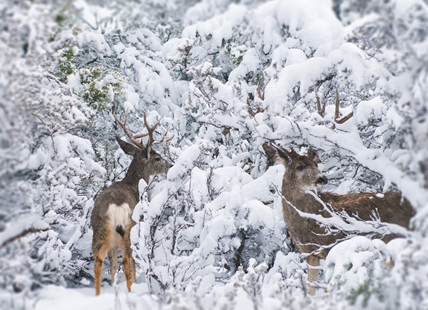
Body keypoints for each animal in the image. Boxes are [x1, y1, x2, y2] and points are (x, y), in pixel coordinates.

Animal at [91, 109, 173, 296]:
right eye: (158, 158)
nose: (171, 165)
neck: (133, 185)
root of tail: (116, 205)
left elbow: (113, 267)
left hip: (101, 229)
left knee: (100, 260)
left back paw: (98, 294)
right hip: (130, 228)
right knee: (128, 259)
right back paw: (132, 291)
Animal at [262, 143, 416, 296]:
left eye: (316, 164)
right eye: (299, 166)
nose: (322, 178)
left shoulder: (330, 247)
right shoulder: (310, 253)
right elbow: (311, 289)